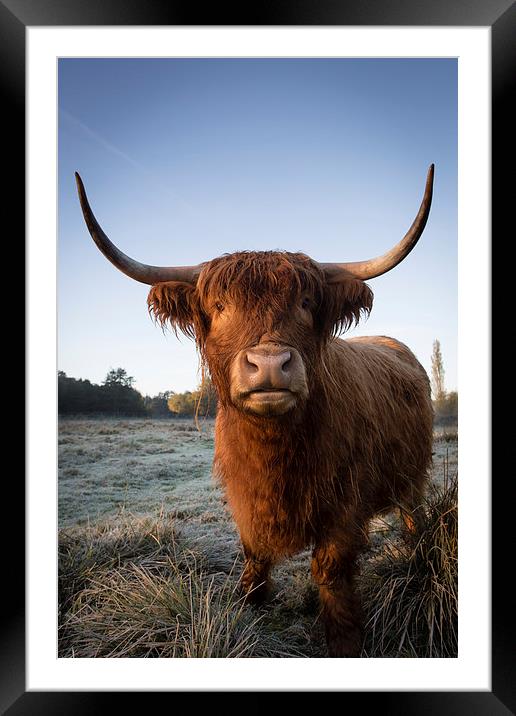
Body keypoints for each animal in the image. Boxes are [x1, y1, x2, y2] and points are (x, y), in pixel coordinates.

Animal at [75, 165, 436, 656]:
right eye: (220, 306)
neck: (275, 454)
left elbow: (332, 575)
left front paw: (345, 640)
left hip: (413, 477)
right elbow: (254, 556)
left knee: (414, 516)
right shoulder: (245, 500)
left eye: (306, 303)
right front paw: (248, 603)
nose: (268, 364)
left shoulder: (344, 509)